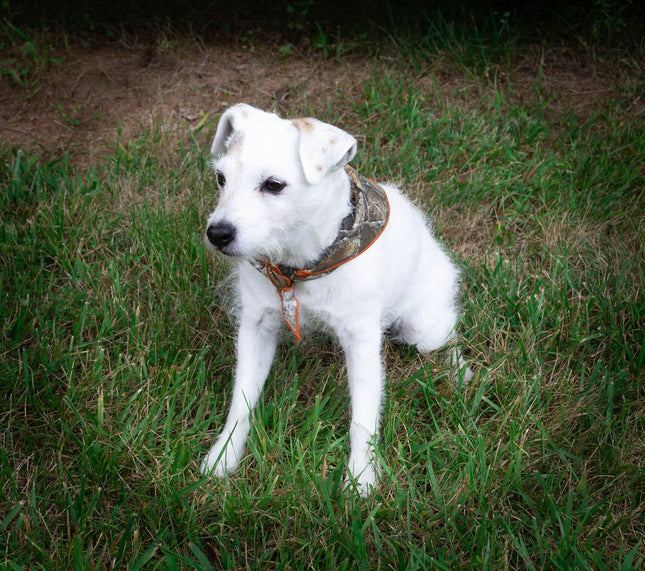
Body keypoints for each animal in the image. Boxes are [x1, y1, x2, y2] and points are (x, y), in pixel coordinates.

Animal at [199, 103, 470, 496]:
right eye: (220, 178)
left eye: (274, 185)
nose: (217, 233)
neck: (301, 265)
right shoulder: (256, 328)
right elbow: (242, 400)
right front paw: (223, 456)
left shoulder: (362, 341)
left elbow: (364, 414)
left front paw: (361, 477)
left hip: (424, 329)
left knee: (448, 337)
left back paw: (459, 369)